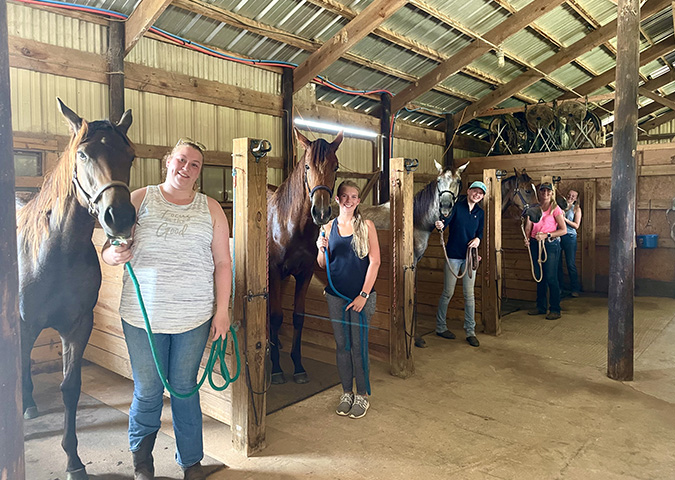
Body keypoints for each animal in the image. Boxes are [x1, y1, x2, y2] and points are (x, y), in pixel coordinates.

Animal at [16, 99, 136, 478]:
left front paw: (73, 460)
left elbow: (70, 387)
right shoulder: (24, 324)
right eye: (82, 154)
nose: (119, 216)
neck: (55, 251)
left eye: (130, 155)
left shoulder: (78, 326)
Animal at [268, 126, 344, 382]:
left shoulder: (304, 273)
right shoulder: (273, 272)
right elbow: (276, 315)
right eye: (308, 167)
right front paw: (276, 369)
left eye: (336, 166)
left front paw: (298, 366)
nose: (320, 212)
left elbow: (297, 317)